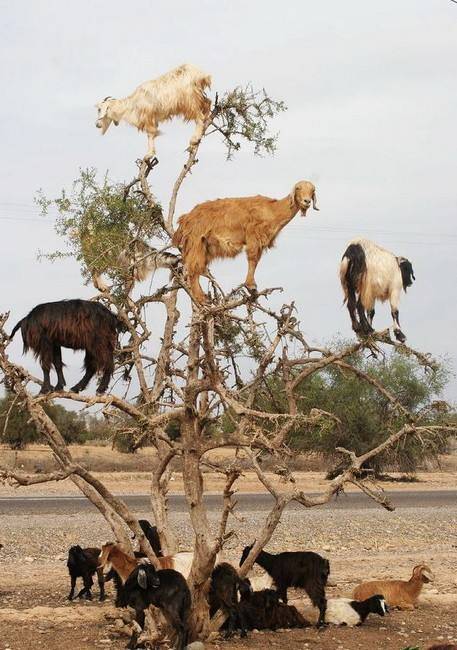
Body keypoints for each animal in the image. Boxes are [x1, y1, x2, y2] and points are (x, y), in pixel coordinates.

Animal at [171, 180, 318, 302]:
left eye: (312, 190)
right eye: (298, 188)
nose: (307, 201)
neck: (273, 210)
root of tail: (185, 219)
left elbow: (256, 260)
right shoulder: (253, 235)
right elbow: (252, 259)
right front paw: (251, 286)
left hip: (204, 247)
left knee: (197, 268)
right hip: (196, 242)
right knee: (193, 269)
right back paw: (201, 298)